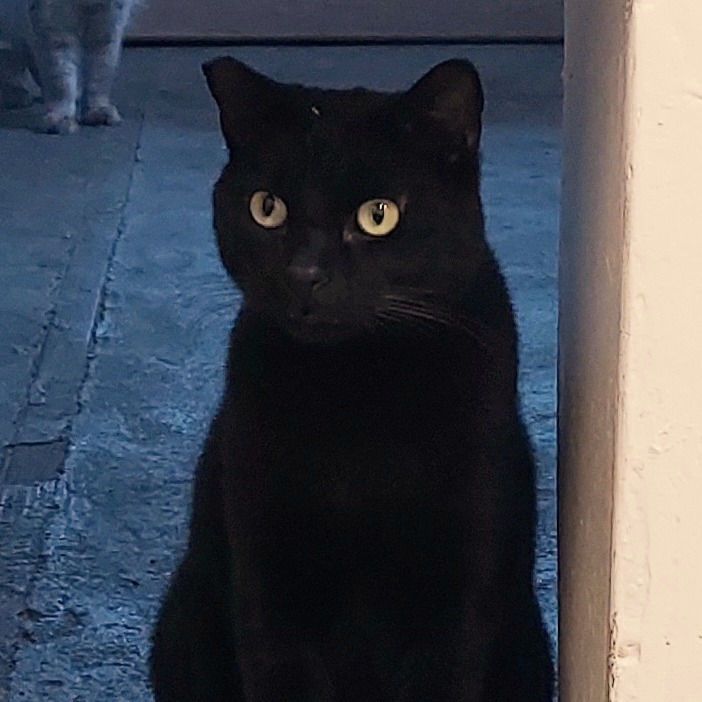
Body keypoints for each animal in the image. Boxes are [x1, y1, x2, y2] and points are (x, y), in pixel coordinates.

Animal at [19, 0, 139, 133]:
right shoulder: (55, 26)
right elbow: (62, 81)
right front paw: (61, 117)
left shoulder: (108, 25)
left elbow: (100, 77)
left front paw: (97, 111)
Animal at [149, 57, 554, 702]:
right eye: (267, 207)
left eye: (378, 215)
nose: (305, 274)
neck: (357, 393)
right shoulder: (267, 580)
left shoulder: (460, 588)